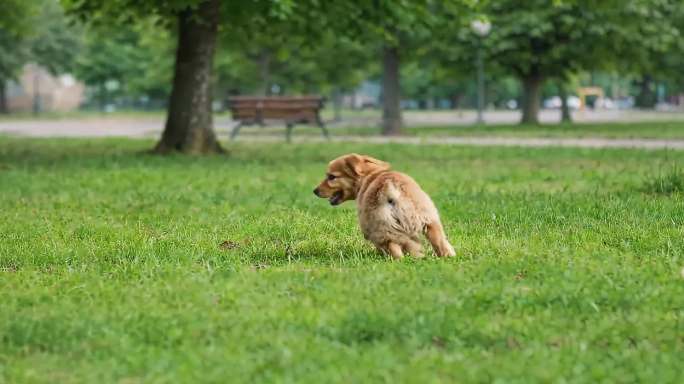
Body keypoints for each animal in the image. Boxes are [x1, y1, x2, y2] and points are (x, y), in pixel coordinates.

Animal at [314, 153, 454, 258]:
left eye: (331, 177)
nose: (315, 191)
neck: (369, 176)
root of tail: (391, 186)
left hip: (382, 228)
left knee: (395, 250)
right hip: (429, 220)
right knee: (440, 244)